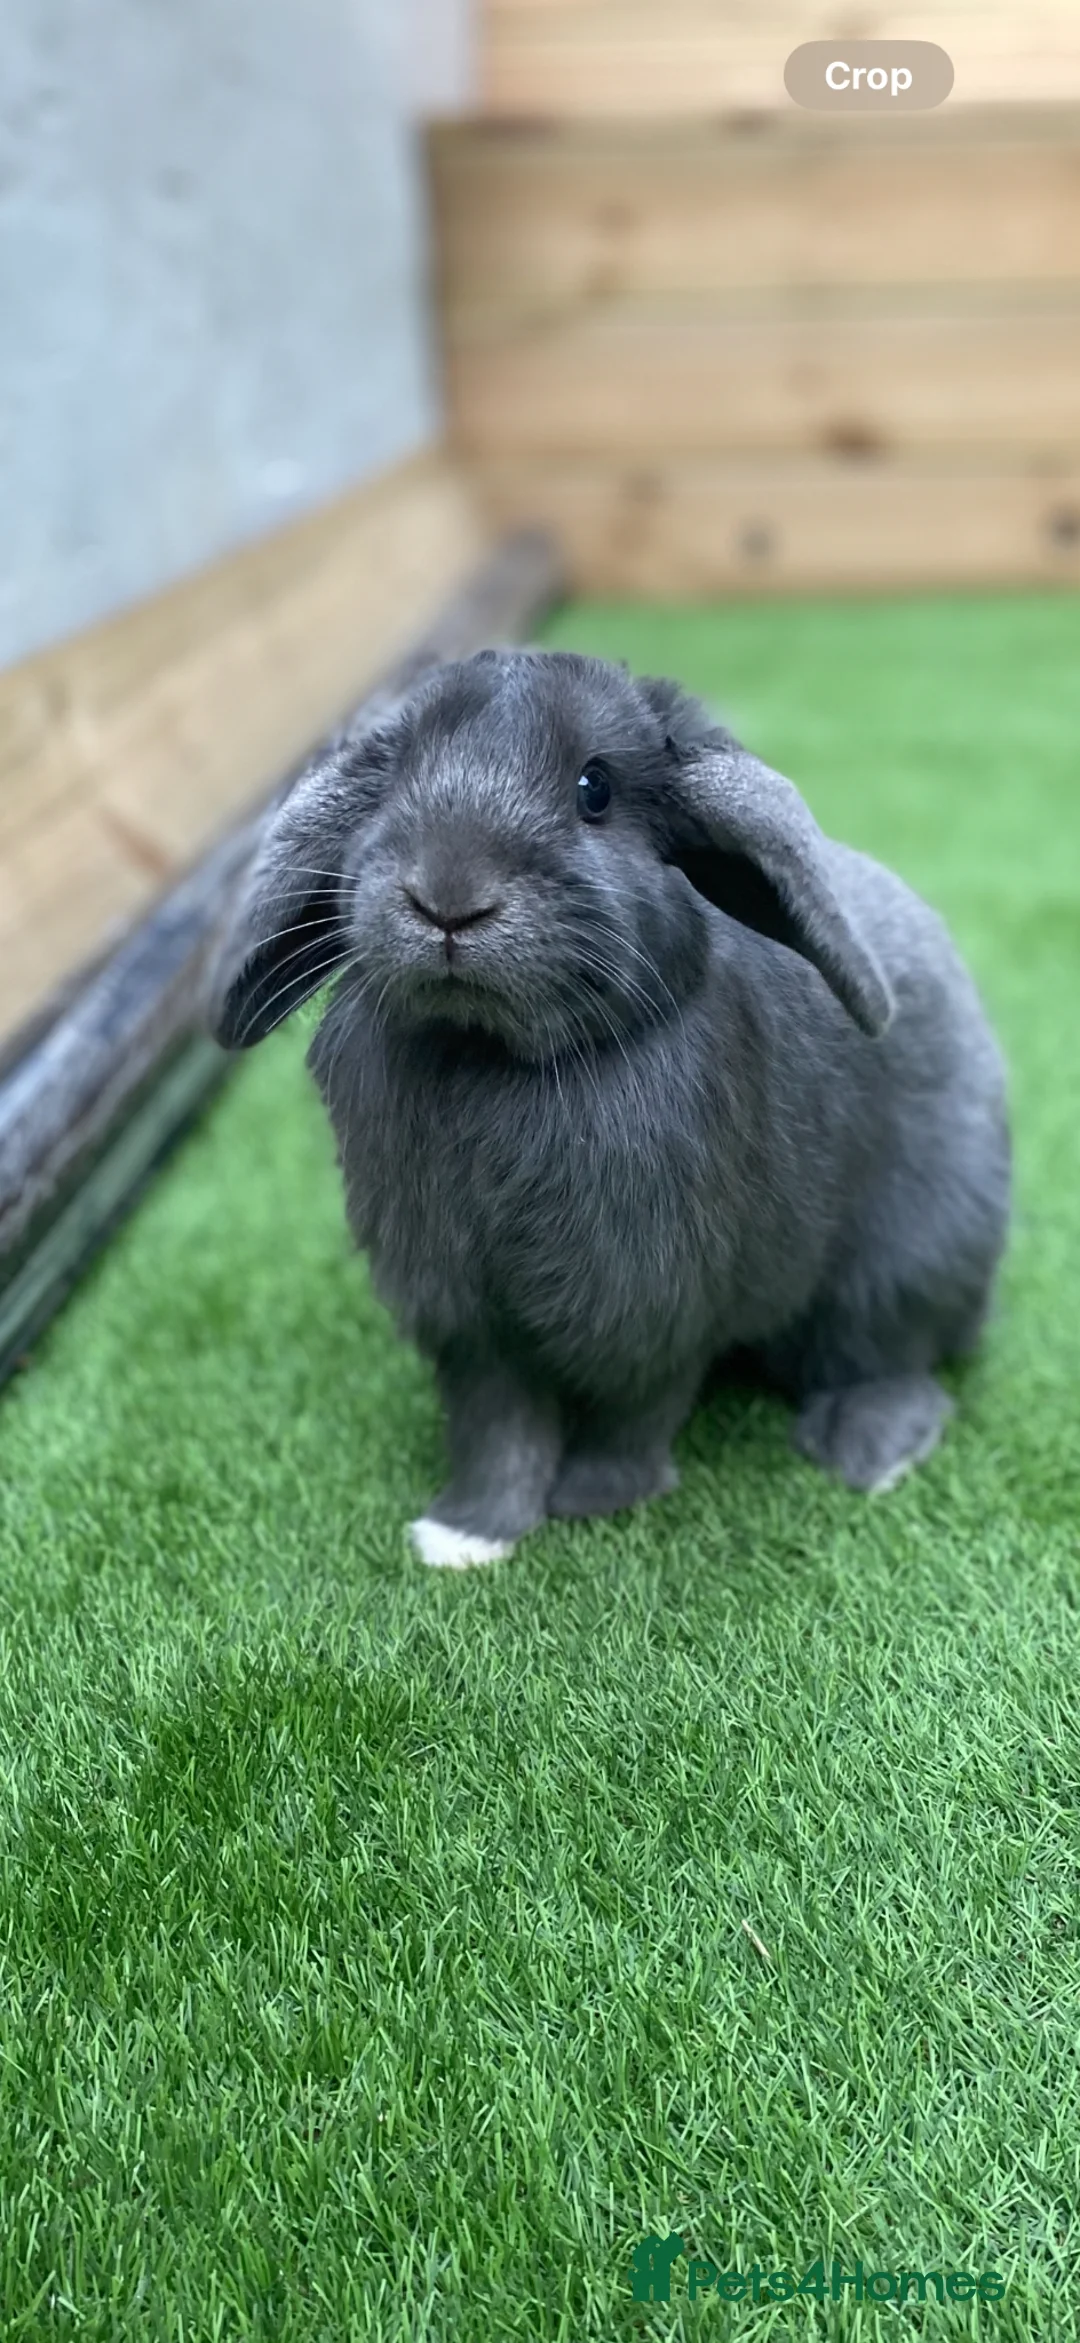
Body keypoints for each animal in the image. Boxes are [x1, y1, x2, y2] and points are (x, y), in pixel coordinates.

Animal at [208, 647, 1010, 1568]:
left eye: (595, 789)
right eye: (396, 773)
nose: (447, 898)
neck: (491, 1059)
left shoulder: (647, 1303)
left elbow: (631, 1412)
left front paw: (597, 1500)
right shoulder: (469, 1321)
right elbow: (497, 1428)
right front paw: (464, 1534)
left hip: (898, 1267)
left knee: (895, 1361)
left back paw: (867, 1450)